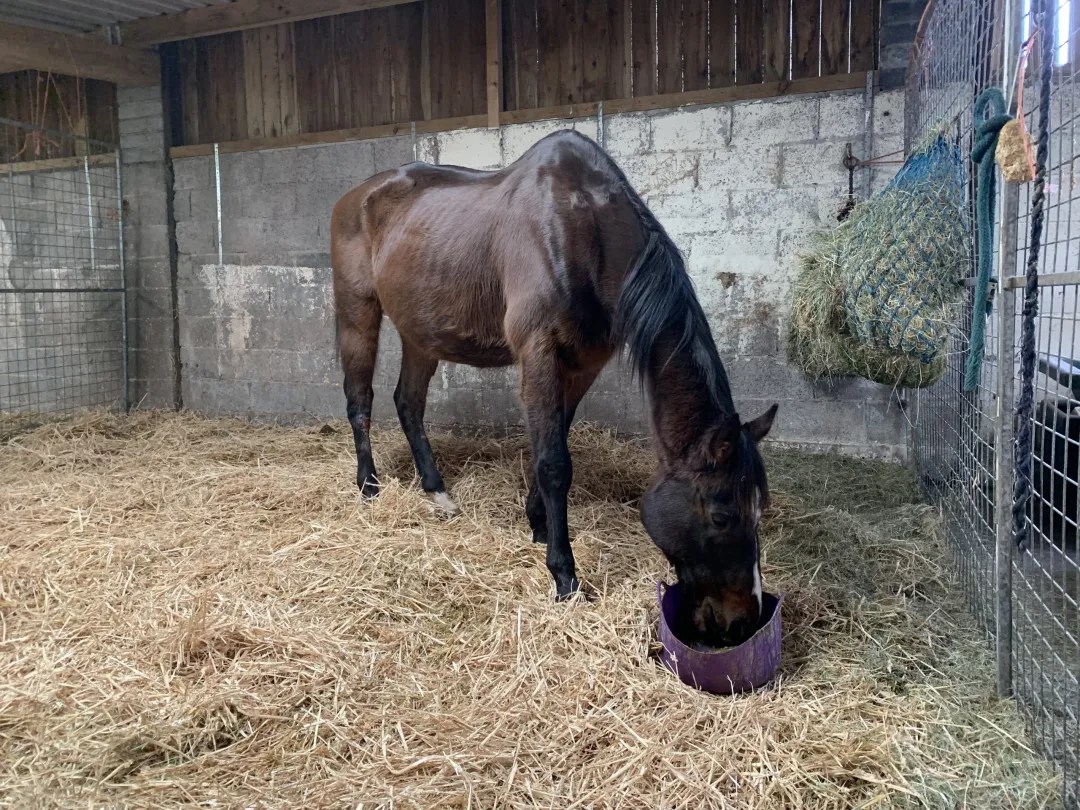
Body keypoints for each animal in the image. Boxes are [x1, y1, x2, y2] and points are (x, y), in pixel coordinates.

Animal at [330, 129, 778, 647]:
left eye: (761, 509)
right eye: (722, 515)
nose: (743, 621)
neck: (582, 230)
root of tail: (355, 196)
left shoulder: (583, 364)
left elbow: (554, 445)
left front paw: (539, 524)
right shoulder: (539, 354)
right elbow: (554, 463)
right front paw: (564, 576)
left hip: (420, 334)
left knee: (408, 403)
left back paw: (437, 492)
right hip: (358, 312)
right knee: (360, 401)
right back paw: (369, 486)